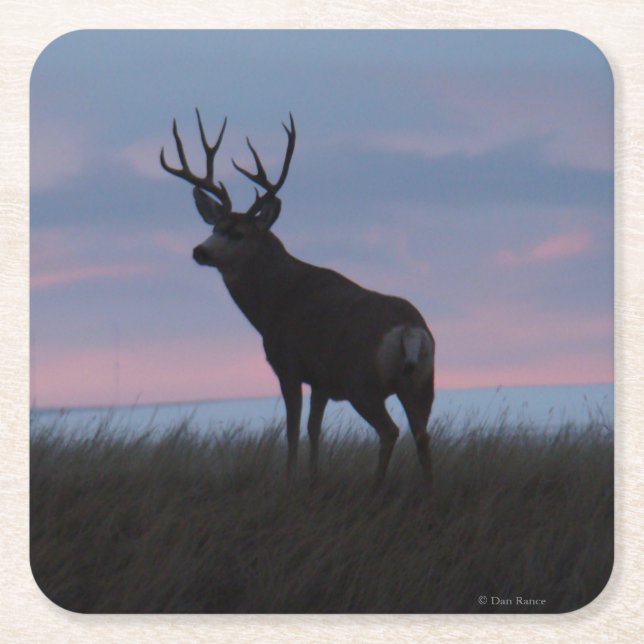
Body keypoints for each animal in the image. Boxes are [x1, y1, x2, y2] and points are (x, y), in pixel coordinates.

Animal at [160, 111, 436, 495]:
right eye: (214, 227)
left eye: (237, 233)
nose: (200, 251)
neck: (275, 302)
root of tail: (410, 330)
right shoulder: (321, 380)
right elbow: (314, 429)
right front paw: (314, 478)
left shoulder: (288, 364)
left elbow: (291, 429)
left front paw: (290, 479)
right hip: (423, 383)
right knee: (423, 436)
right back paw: (430, 491)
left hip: (363, 382)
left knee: (390, 431)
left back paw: (376, 487)